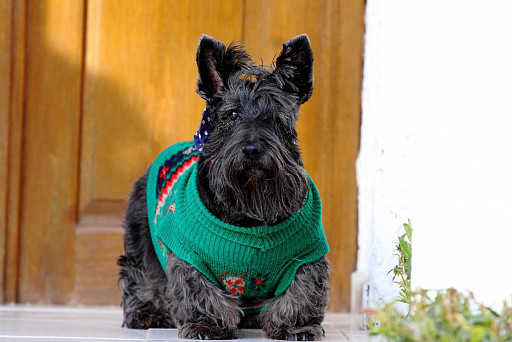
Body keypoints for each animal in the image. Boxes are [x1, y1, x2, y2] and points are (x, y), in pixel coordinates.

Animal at [117, 34, 330, 340]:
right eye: (232, 115)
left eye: (276, 117)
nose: (252, 150)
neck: (250, 212)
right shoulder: (190, 254)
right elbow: (200, 291)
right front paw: (207, 325)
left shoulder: (305, 255)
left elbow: (301, 292)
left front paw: (296, 327)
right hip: (141, 235)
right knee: (142, 275)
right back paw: (148, 314)